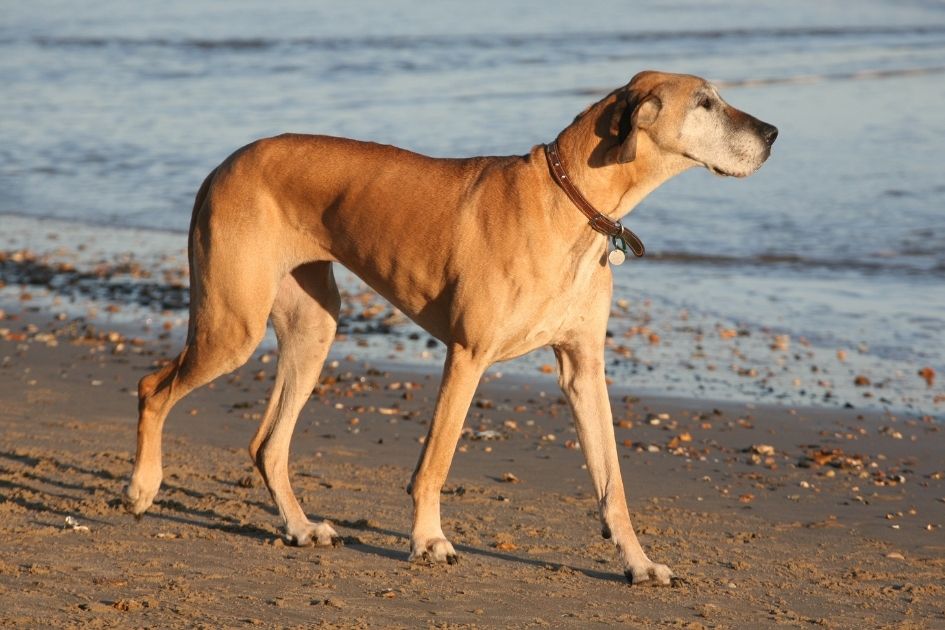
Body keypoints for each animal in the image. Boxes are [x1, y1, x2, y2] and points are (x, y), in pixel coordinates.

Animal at [123, 70, 776, 588]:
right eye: (706, 103)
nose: (772, 134)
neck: (571, 202)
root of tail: (225, 164)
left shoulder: (584, 370)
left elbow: (611, 482)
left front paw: (638, 563)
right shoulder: (466, 355)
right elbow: (434, 463)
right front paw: (427, 541)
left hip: (312, 329)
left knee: (267, 443)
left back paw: (300, 527)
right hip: (231, 327)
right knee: (154, 388)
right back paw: (142, 489)